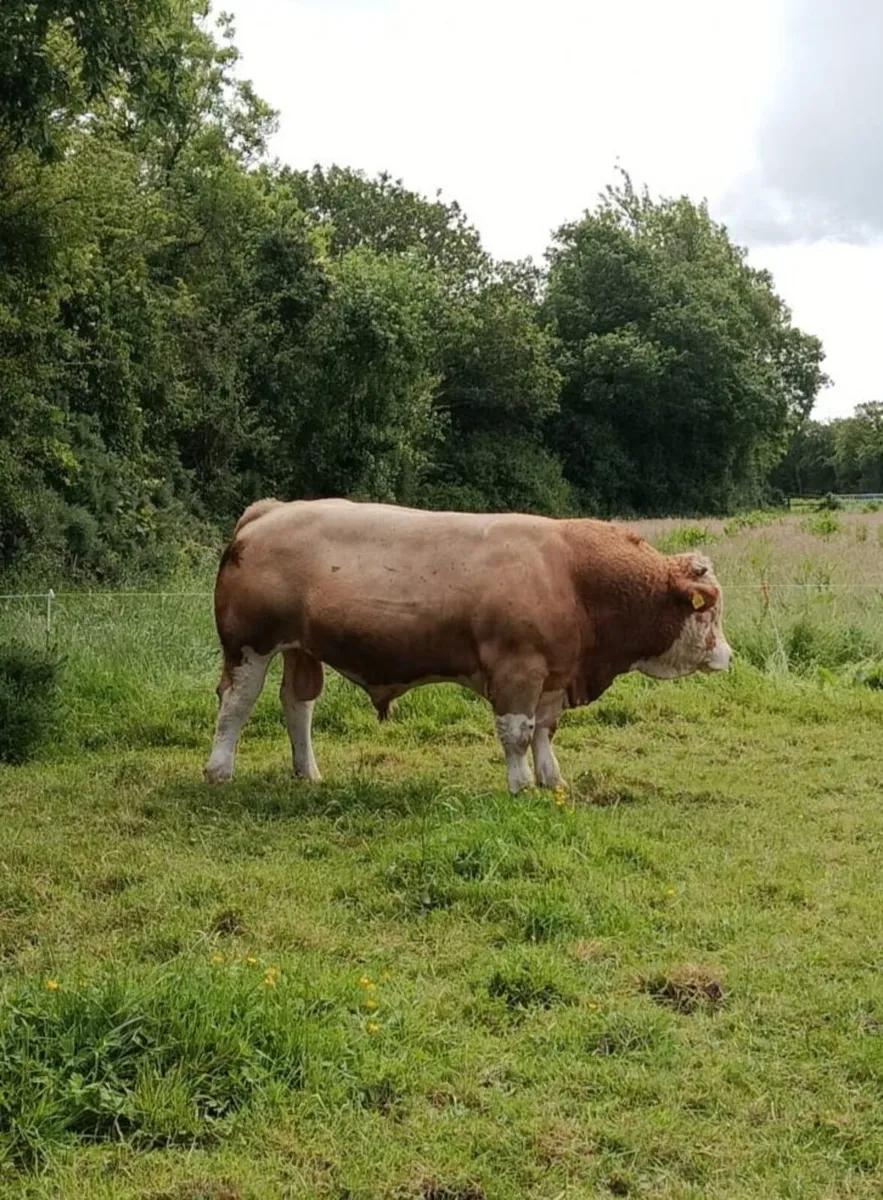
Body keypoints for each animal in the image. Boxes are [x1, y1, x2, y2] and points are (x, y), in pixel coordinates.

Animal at [204, 498, 731, 793]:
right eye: (707, 609)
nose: (729, 656)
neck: (574, 575)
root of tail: (271, 510)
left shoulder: (555, 675)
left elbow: (545, 731)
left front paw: (552, 779)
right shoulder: (517, 670)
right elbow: (517, 732)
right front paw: (521, 786)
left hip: (301, 649)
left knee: (297, 704)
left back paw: (308, 773)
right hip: (249, 645)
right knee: (236, 704)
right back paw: (219, 771)